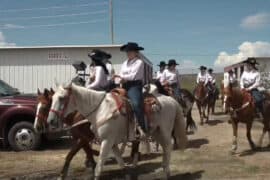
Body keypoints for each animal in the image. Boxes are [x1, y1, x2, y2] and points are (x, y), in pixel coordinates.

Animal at [45, 82, 187, 179]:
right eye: (52, 99)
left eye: (62, 98)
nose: (50, 121)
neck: (100, 110)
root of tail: (171, 100)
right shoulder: (111, 143)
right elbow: (120, 163)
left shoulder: (106, 141)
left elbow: (99, 166)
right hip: (156, 132)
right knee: (164, 148)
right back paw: (163, 168)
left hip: (165, 131)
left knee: (168, 147)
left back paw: (167, 172)